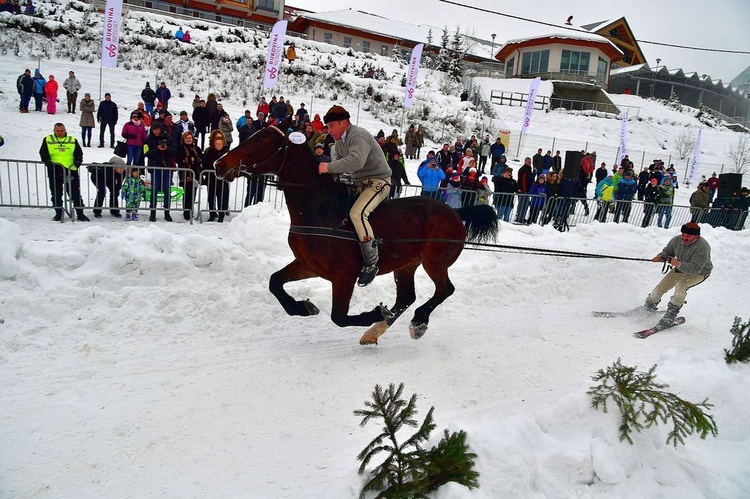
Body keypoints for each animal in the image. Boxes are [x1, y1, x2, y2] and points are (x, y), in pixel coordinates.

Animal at [213, 115, 500, 346]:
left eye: (261, 141)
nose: (218, 164)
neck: (319, 209)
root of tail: (455, 213)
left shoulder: (344, 275)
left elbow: (339, 317)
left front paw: (374, 312)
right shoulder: (308, 265)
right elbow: (275, 282)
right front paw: (304, 307)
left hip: (435, 262)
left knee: (444, 290)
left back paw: (416, 323)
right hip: (406, 265)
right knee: (407, 297)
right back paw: (375, 332)